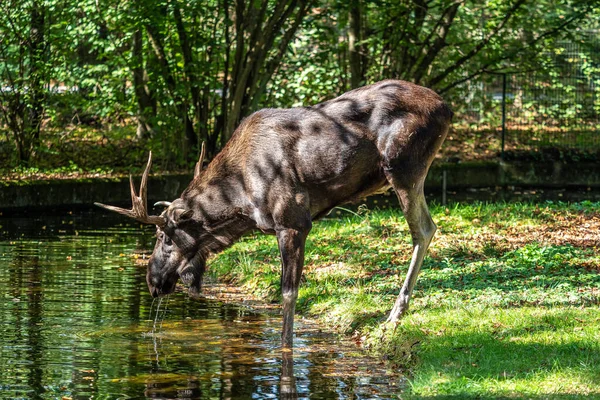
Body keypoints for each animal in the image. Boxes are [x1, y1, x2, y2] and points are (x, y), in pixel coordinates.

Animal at [95, 80, 450, 346]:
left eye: (163, 236)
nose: (153, 282)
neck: (240, 204)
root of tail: (446, 107)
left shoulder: (293, 221)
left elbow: (288, 294)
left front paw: (285, 348)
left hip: (402, 167)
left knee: (424, 229)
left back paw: (395, 314)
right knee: (428, 227)